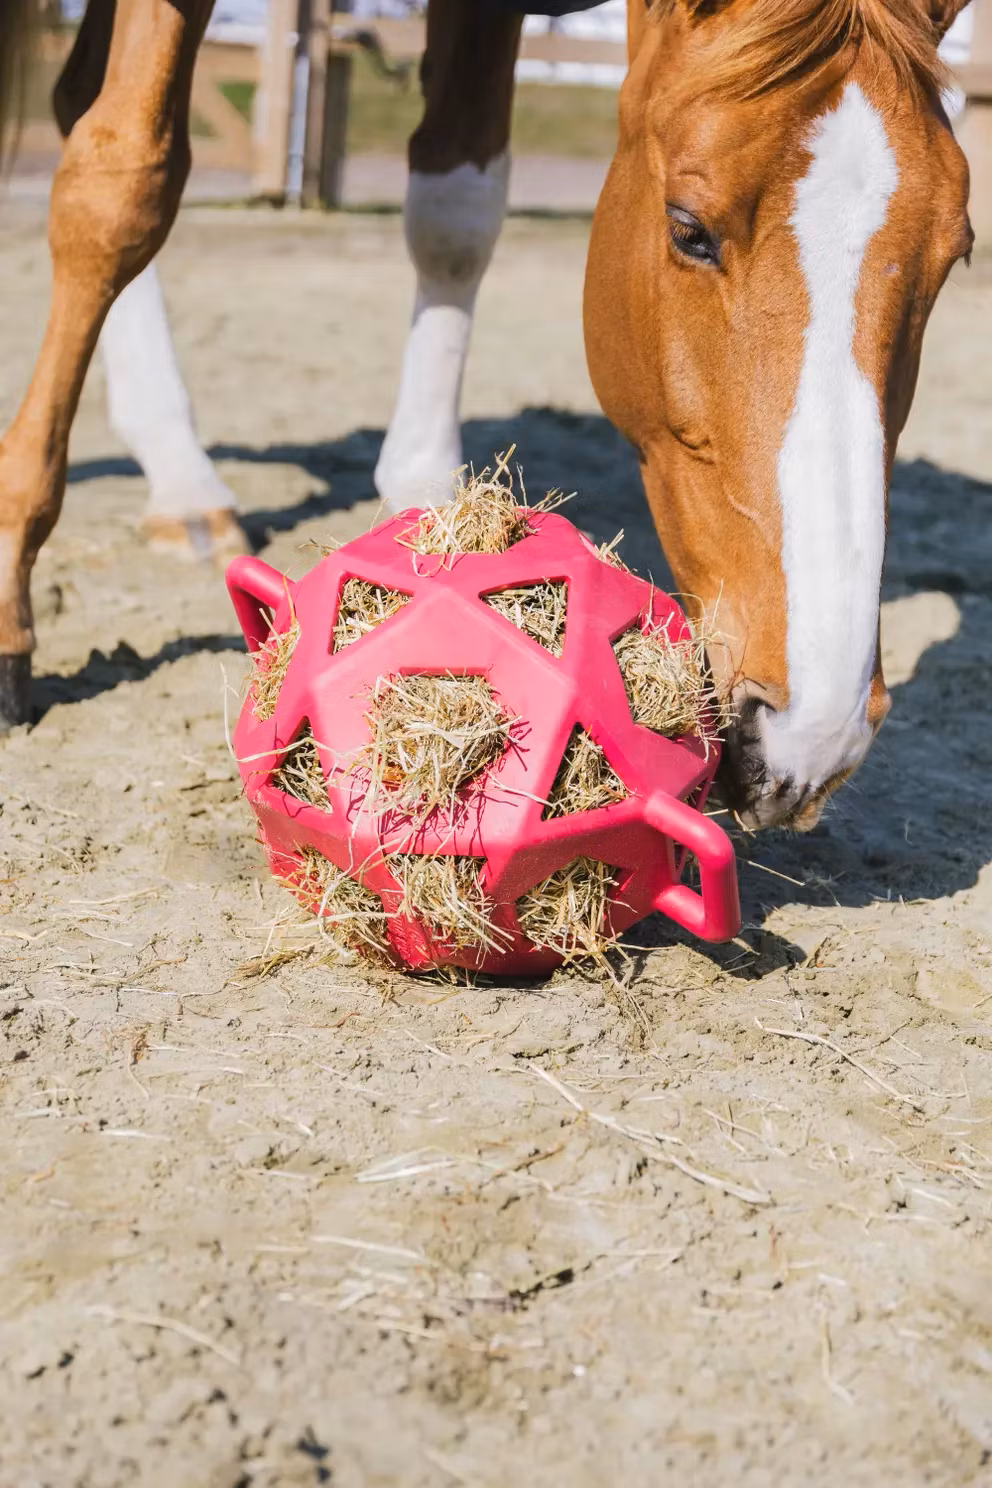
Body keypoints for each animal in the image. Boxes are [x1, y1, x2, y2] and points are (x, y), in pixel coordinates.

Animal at [0, 0, 973, 835]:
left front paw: (433, 505)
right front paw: (11, 579)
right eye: (689, 228)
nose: (814, 732)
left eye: (954, 256)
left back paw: (180, 476)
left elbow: (456, 207)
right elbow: (119, 188)